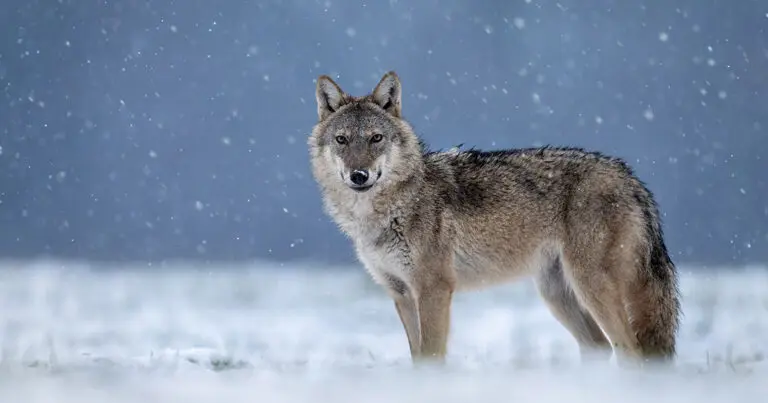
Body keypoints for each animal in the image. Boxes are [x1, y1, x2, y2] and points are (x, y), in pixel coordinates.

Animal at [308, 71, 681, 367]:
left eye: (376, 138)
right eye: (342, 140)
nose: (359, 175)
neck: (388, 209)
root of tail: (630, 177)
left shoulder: (433, 289)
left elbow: (431, 357)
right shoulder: (400, 294)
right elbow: (417, 358)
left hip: (591, 286)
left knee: (631, 350)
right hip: (557, 295)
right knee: (601, 348)